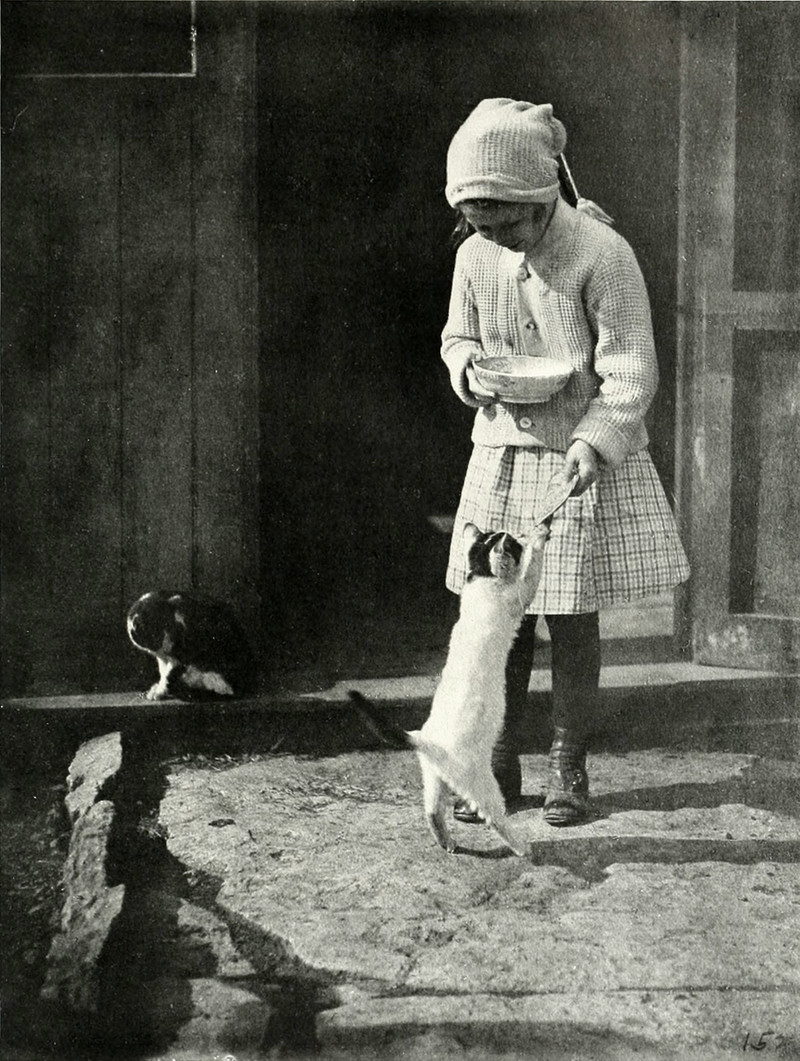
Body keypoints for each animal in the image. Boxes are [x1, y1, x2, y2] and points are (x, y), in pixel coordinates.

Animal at [126, 590, 257, 701]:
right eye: (154, 633)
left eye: (171, 627)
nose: (167, 643)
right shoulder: (162, 657)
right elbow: (163, 672)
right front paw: (159, 688)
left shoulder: (184, 653)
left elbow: (168, 674)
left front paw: (160, 691)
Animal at [351, 521, 548, 857]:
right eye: (511, 543)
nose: (514, 533)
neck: (481, 578)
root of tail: (427, 741)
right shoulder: (522, 593)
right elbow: (533, 565)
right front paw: (539, 534)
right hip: (482, 785)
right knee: (495, 819)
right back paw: (522, 847)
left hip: (434, 781)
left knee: (431, 812)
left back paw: (448, 843)